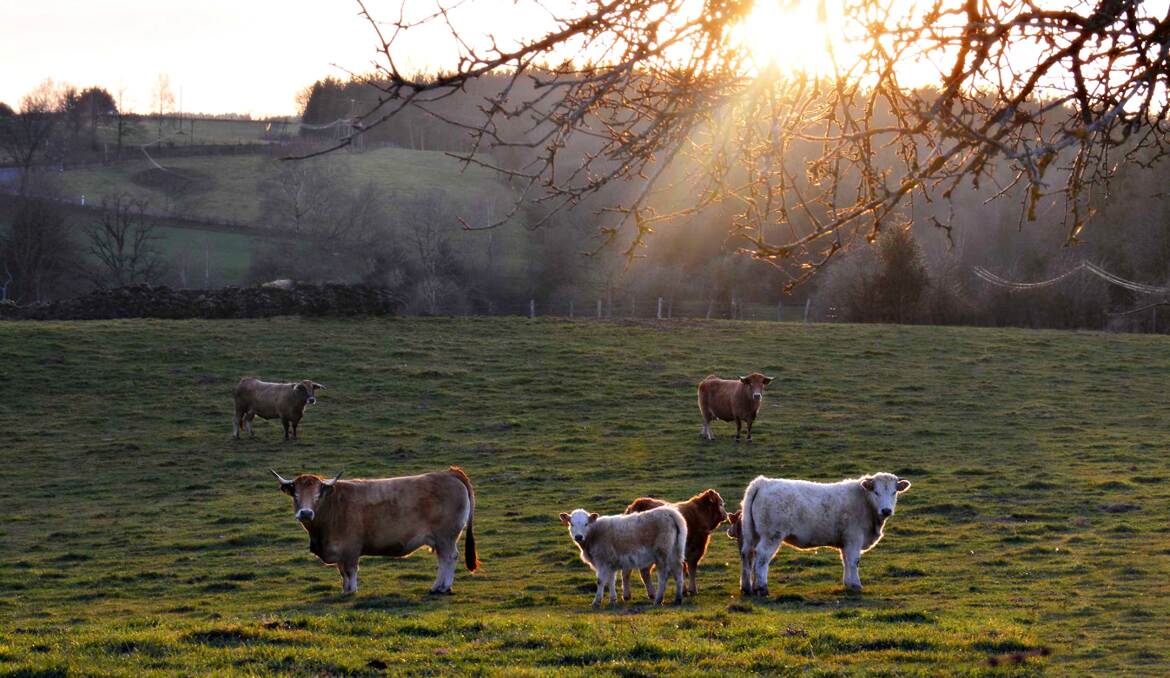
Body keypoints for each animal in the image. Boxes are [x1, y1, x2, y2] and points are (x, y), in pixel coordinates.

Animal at [271, 466, 477, 594]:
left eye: (317, 495)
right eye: (296, 495)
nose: (306, 513)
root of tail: (449, 473)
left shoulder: (351, 548)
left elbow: (350, 571)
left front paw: (351, 591)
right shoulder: (340, 551)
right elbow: (342, 572)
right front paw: (344, 590)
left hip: (446, 537)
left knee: (449, 558)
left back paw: (442, 587)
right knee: (443, 559)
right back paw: (438, 587)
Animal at [739, 473, 912, 594]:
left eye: (894, 492)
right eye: (876, 492)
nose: (886, 510)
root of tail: (764, 482)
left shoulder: (845, 542)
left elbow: (845, 561)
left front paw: (848, 584)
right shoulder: (854, 538)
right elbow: (854, 561)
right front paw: (856, 585)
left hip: (752, 534)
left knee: (747, 554)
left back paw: (747, 587)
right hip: (772, 535)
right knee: (762, 556)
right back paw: (762, 588)